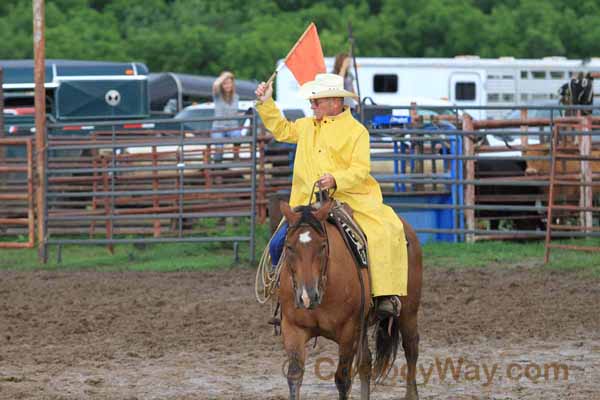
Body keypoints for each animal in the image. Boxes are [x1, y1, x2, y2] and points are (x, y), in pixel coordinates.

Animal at [278, 200, 422, 400]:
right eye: (289, 246)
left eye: (322, 246)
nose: (307, 296)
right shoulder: (293, 328)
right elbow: (294, 376)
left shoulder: (349, 331)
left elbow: (342, 379)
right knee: (366, 363)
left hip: (408, 311)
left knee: (411, 349)